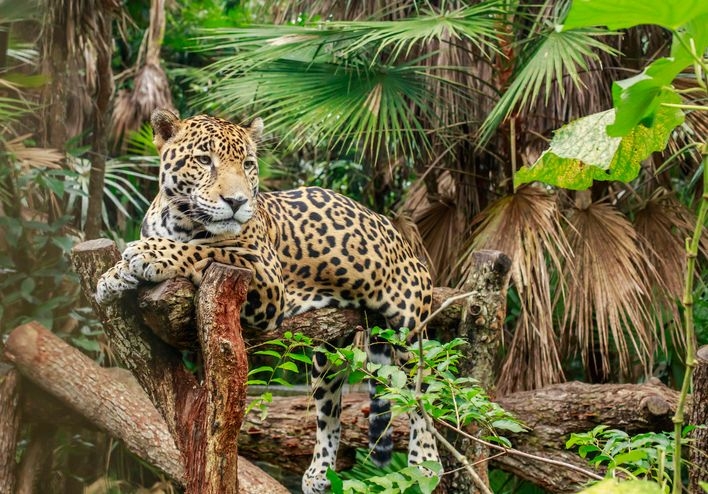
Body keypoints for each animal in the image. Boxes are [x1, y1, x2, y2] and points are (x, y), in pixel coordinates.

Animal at [96, 109, 440, 493]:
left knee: (423, 394)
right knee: (329, 413)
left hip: (410, 331)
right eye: (204, 160)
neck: (179, 220)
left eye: (247, 164)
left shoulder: (263, 274)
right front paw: (111, 276)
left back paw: (425, 460)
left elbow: (204, 250)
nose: (237, 202)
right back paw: (319, 473)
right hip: (328, 354)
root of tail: (400, 236)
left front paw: (148, 254)